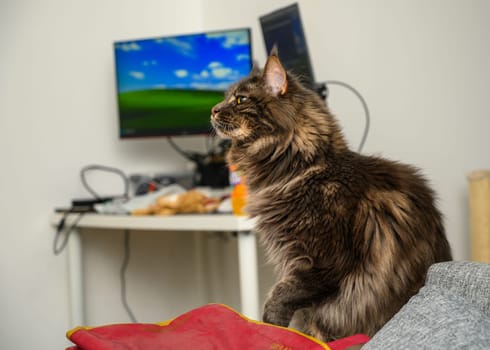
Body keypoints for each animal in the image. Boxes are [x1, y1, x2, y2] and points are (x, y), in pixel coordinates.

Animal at [210, 49, 452, 342]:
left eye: (240, 99)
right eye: (227, 98)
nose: (213, 110)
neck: (300, 170)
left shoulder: (323, 262)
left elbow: (280, 296)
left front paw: (272, 328)